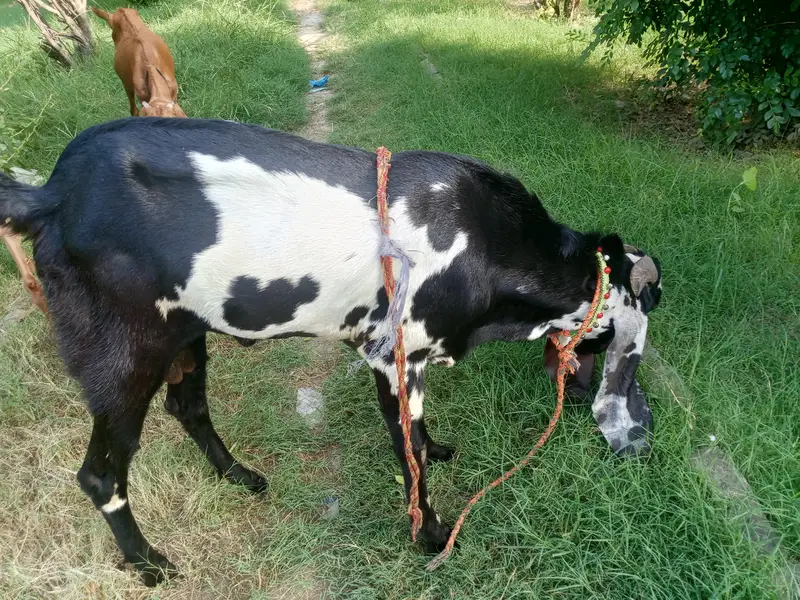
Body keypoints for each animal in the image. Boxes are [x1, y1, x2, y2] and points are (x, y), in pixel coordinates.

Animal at [0, 117, 662, 586]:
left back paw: (239, 476)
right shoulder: (392, 358)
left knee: (188, 408)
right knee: (100, 474)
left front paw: (437, 448)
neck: (486, 242)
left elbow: (420, 439)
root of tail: (54, 194)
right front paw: (432, 536)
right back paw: (148, 563)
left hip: (185, 336)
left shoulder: (412, 363)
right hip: (127, 360)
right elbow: (410, 462)